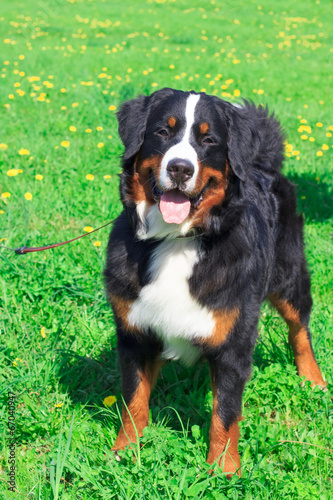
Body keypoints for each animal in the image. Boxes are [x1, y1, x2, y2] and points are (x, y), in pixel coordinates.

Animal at [103, 87, 324, 476]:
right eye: (163, 132)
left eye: (208, 140)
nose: (180, 168)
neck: (177, 241)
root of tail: (263, 163)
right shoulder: (134, 333)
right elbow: (134, 400)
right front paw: (126, 453)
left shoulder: (233, 343)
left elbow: (225, 414)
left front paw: (223, 470)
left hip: (289, 276)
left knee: (300, 330)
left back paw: (313, 379)